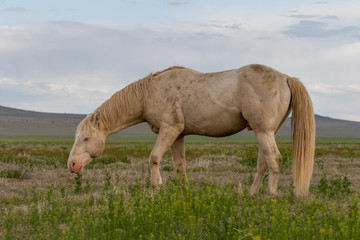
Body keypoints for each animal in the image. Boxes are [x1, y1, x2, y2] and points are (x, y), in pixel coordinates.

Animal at [67, 64, 316, 197]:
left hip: (263, 131)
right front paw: (184, 189)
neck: (149, 93)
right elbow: (180, 165)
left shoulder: (169, 129)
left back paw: (270, 194)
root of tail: (286, 78)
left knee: (274, 159)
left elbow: (154, 157)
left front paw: (157, 187)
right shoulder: (179, 135)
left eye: (86, 138)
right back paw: (251, 193)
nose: (72, 165)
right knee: (264, 162)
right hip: (264, 132)